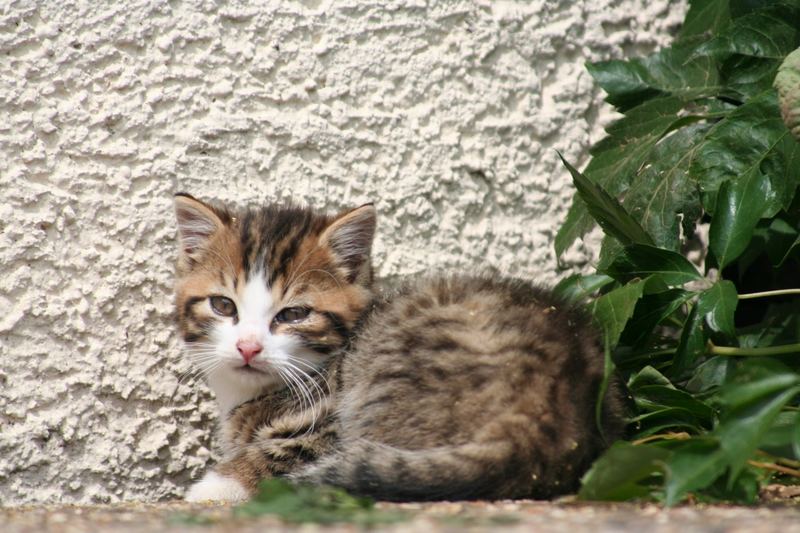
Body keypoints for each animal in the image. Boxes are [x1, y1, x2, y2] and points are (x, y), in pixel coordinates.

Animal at [173, 193, 624, 500]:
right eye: (223, 305)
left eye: (293, 314)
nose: (248, 348)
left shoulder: (329, 423)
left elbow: (283, 451)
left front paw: (215, 486)